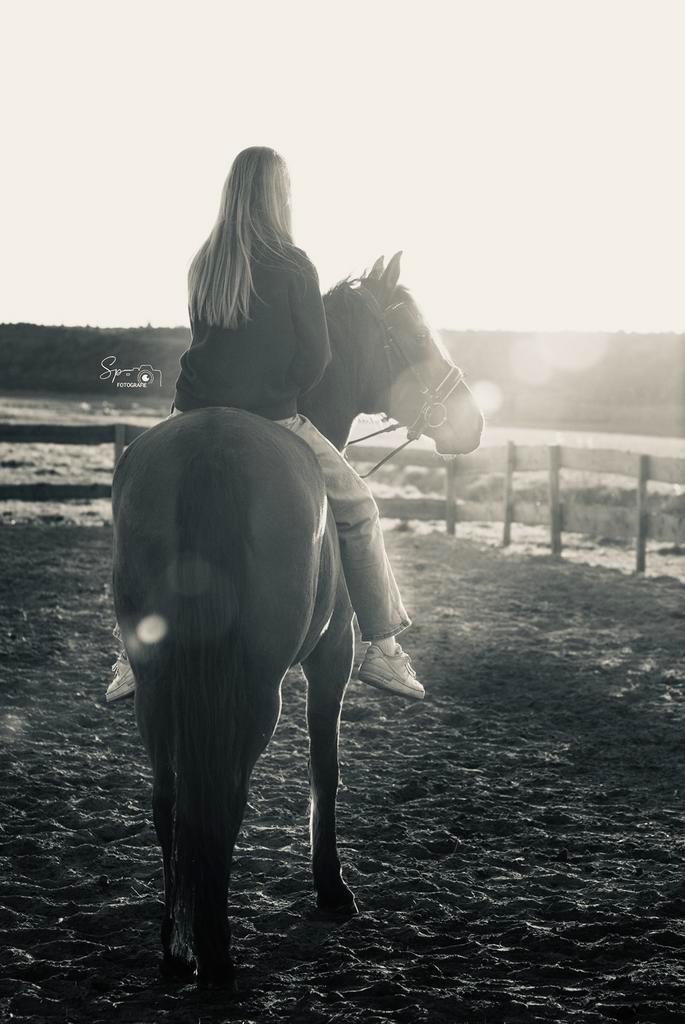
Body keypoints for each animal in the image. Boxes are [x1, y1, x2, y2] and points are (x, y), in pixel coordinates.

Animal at [111, 251, 483, 987]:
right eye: (412, 330)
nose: (472, 420)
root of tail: (213, 451)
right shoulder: (329, 657)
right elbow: (324, 770)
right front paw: (332, 888)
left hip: (159, 681)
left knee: (169, 801)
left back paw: (175, 949)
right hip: (258, 685)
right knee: (223, 800)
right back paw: (217, 959)